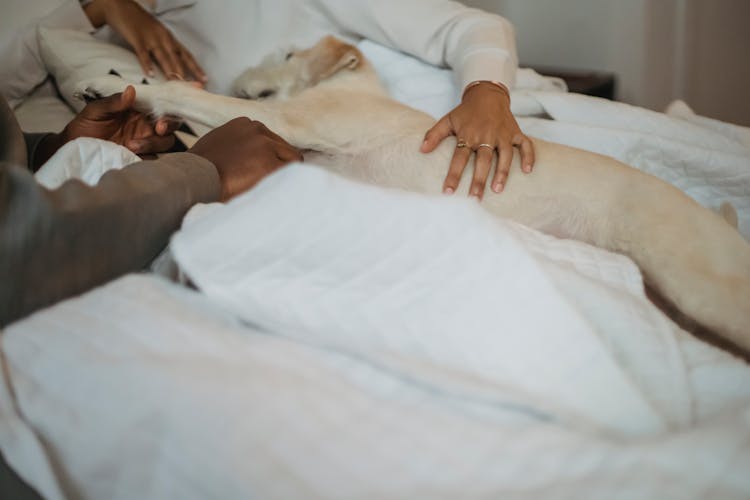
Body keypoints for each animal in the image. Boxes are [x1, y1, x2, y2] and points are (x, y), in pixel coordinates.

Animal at [79, 36, 750, 352]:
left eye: (289, 52)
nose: (238, 74)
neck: (354, 86)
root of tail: (723, 226)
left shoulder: (289, 123)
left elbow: (195, 104)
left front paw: (124, 85)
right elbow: (202, 136)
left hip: (701, 284)